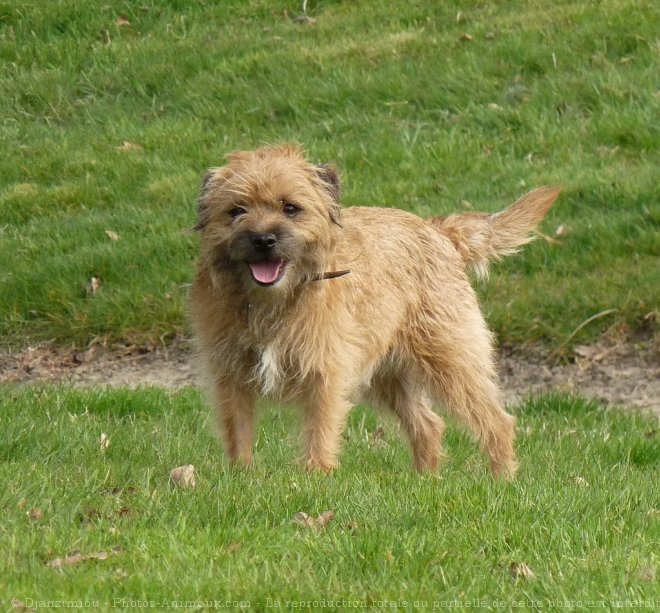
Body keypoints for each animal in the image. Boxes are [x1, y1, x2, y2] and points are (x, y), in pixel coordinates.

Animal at [188, 145, 560, 478]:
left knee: (496, 420)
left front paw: (315, 476)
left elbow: (320, 427)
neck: (272, 302)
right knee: (429, 424)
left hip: (451, 358)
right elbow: (237, 427)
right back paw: (425, 481)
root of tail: (438, 230)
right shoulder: (230, 375)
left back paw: (502, 478)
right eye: (236, 211)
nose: (263, 239)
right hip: (390, 375)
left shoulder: (326, 371)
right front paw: (240, 476)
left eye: (290, 208)